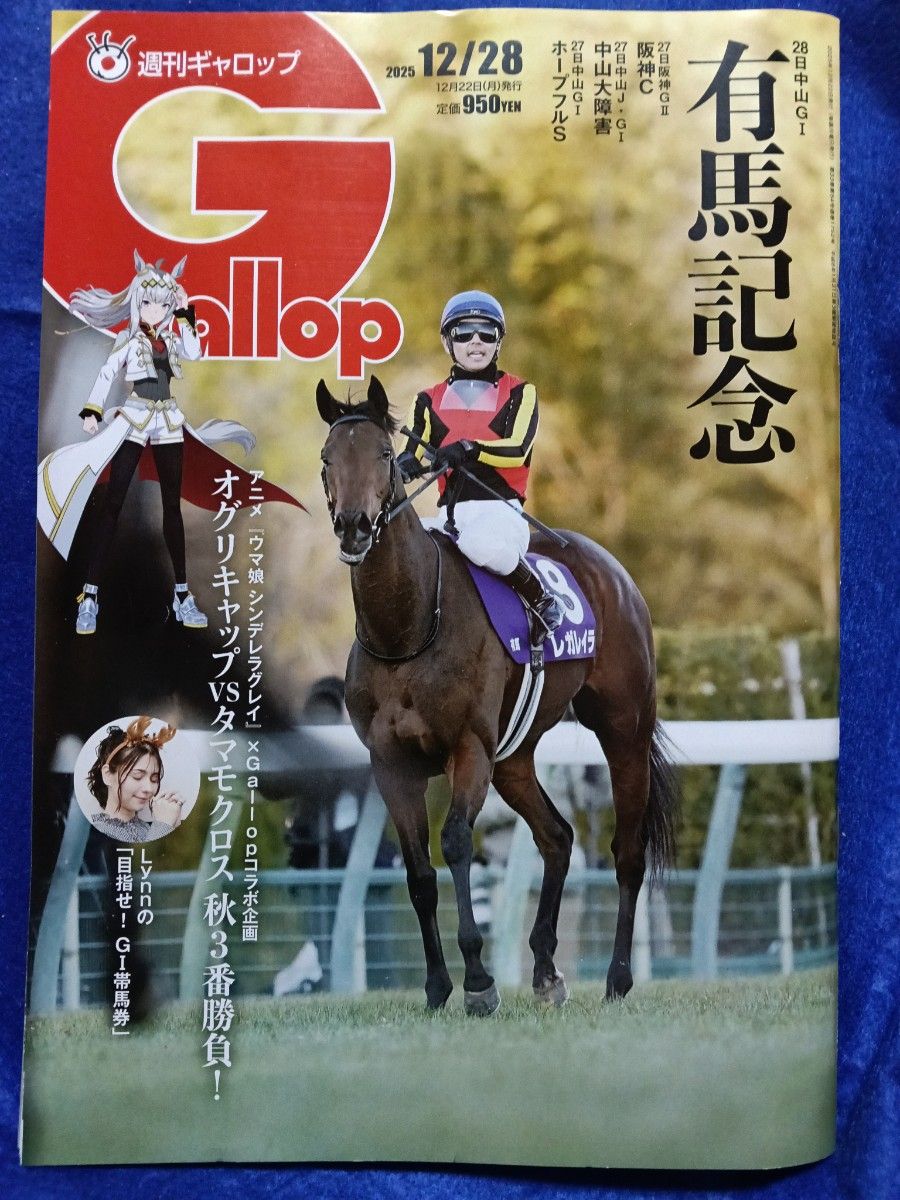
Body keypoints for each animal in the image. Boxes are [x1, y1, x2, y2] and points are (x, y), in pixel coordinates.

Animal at [316, 376, 678, 1015]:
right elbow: (418, 873)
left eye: (383, 454)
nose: (355, 526)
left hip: (623, 729)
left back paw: (617, 977)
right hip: (514, 756)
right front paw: (438, 986)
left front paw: (479, 982)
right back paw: (545, 971)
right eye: (327, 459)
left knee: (627, 853)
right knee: (557, 838)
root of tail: (614, 572)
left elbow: (457, 843)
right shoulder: (391, 764)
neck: (411, 625)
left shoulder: (468, 749)